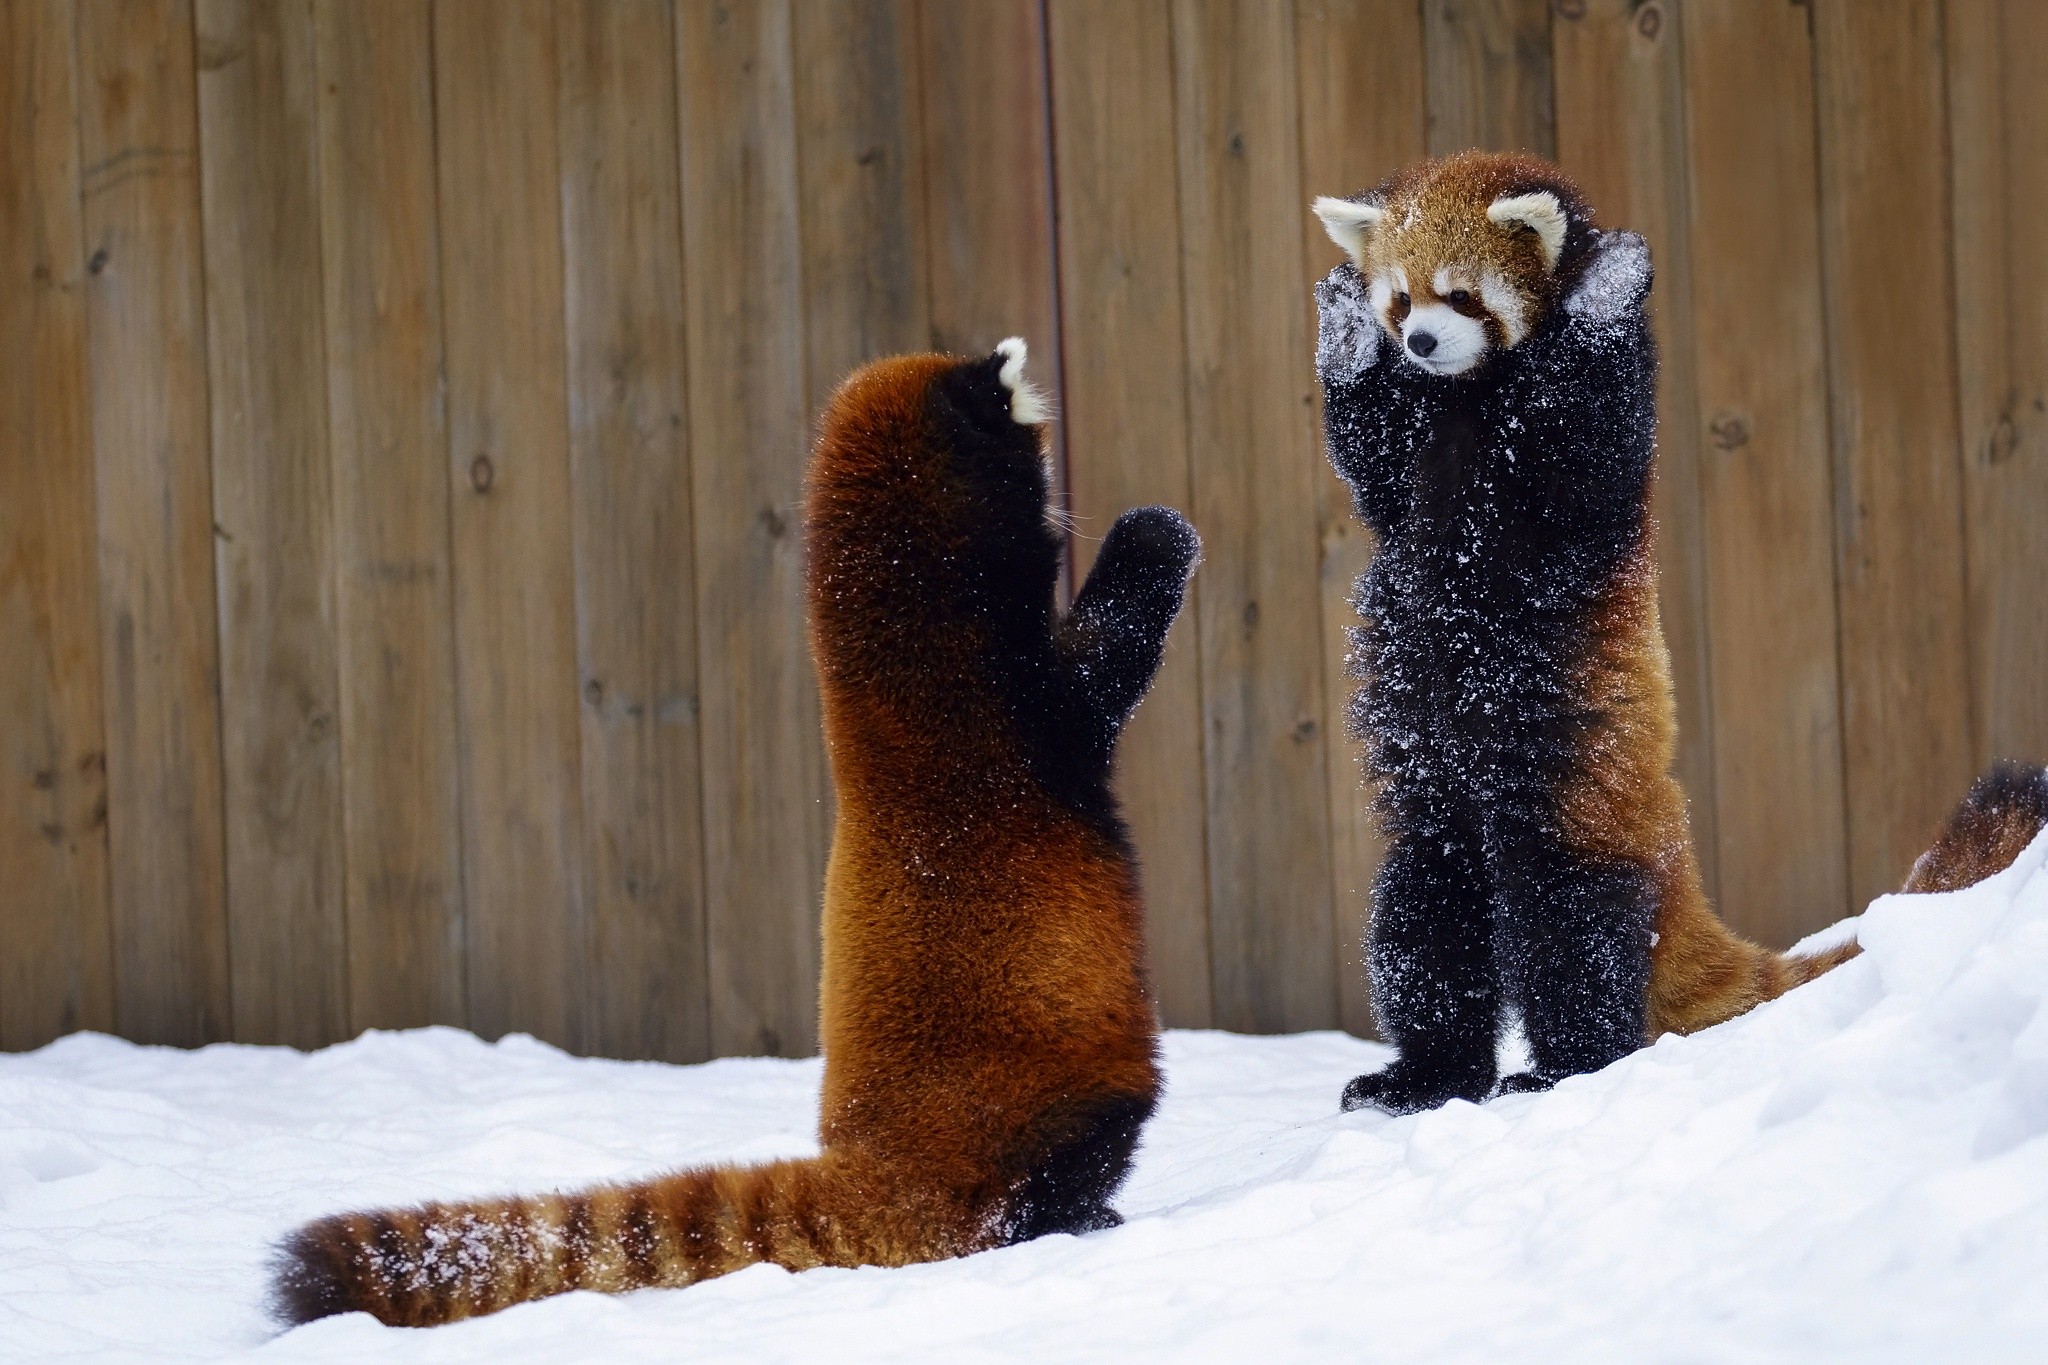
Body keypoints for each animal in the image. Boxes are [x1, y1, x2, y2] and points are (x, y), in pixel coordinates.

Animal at [270, 339, 1196, 1326]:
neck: (908, 658)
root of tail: (878, 1167)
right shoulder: (1019, 721)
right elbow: (1109, 653)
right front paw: (1157, 533)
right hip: (1049, 1090)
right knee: (1064, 1163)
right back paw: (1084, 1216)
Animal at [1310, 149, 2048, 1113]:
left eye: (1462, 296)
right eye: (1399, 301)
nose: (1418, 345)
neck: (1472, 403)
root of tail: (1675, 861)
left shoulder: (1589, 475)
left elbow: (1585, 448)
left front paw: (1608, 286)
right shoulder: (1410, 472)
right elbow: (1372, 467)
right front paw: (1340, 325)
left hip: (1577, 803)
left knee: (1571, 938)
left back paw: (1559, 1067)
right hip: (1438, 811)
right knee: (1425, 925)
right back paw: (1422, 1074)